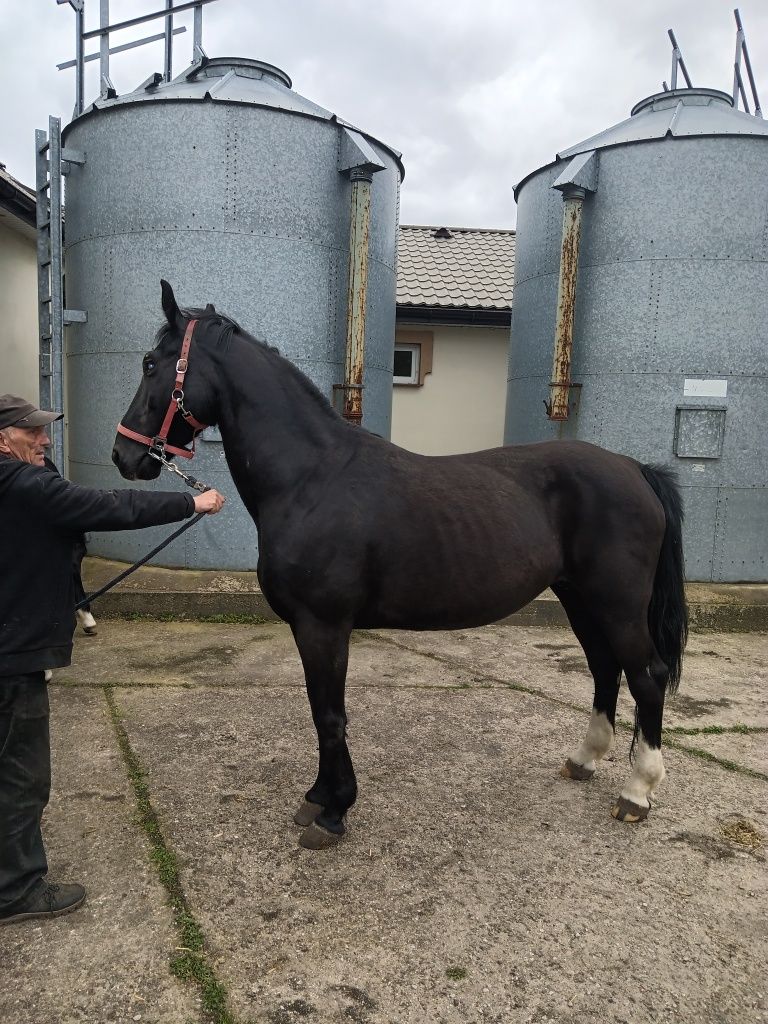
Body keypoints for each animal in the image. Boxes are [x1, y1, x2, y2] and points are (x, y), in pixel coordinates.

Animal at [114, 280, 692, 847]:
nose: (125, 455)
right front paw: (319, 797)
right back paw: (584, 760)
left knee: (647, 675)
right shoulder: (312, 628)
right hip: (580, 598)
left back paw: (637, 793)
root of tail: (635, 470)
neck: (311, 479)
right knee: (604, 668)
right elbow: (320, 710)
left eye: (150, 363)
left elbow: (329, 714)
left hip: (616, 603)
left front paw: (333, 812)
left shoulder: (323, 625)